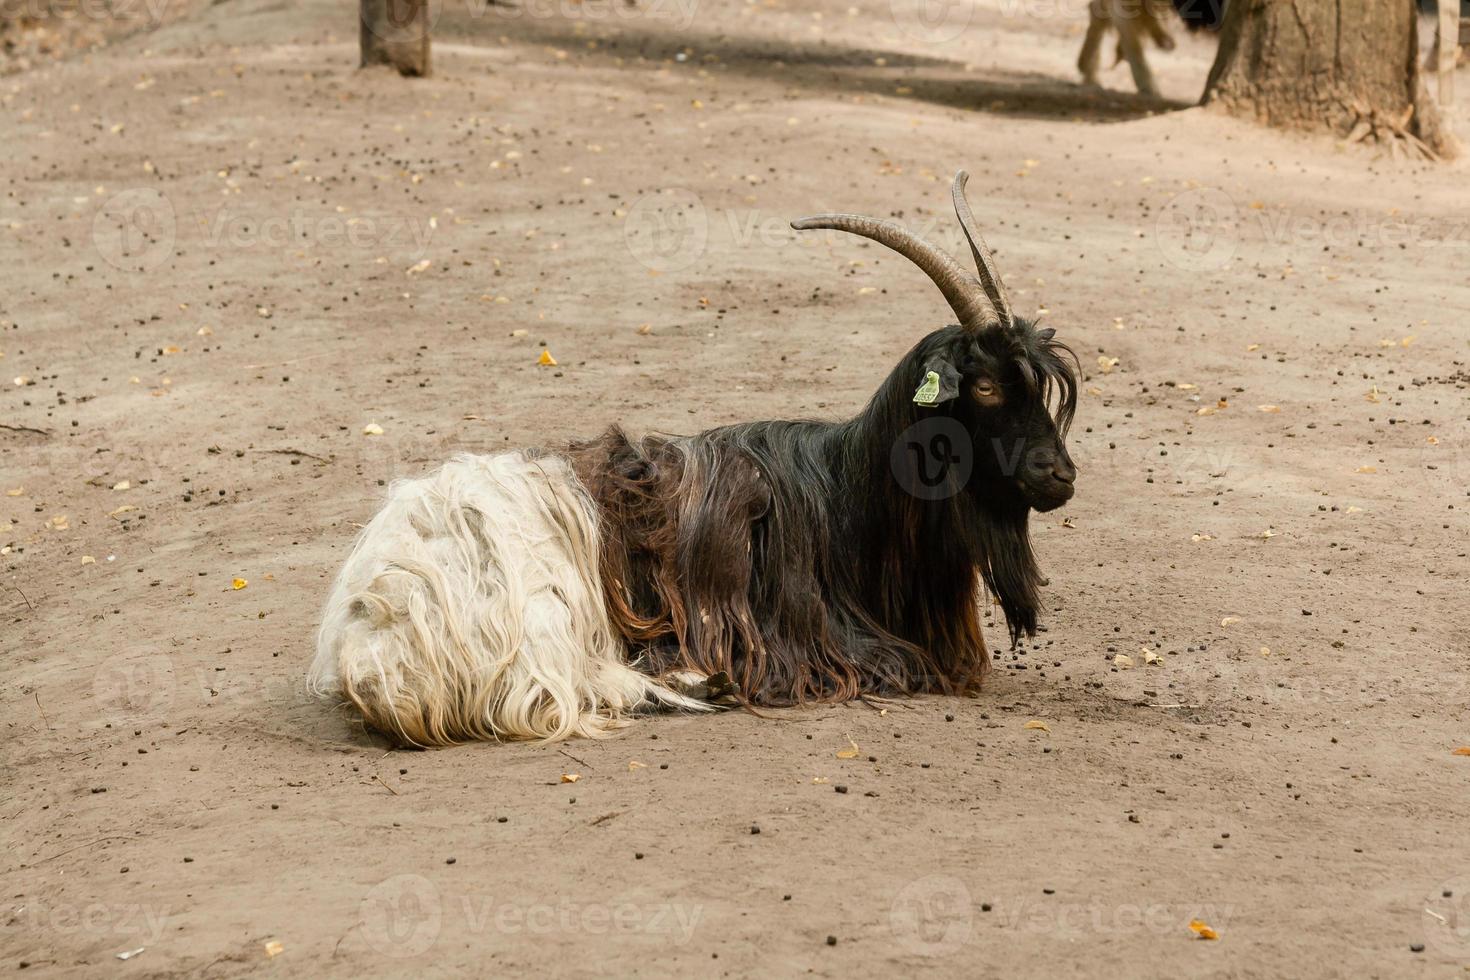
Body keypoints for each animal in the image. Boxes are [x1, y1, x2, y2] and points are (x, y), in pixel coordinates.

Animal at [310, 172, 1087, 746]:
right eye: (985, 386)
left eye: (1040, 384)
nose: (1059, 475)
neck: (847, 494)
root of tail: (370, 634)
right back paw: (693, 682)